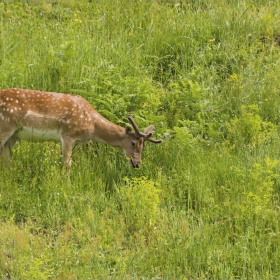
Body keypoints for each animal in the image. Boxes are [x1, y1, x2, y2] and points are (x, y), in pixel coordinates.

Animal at [0, 88, 162, 167]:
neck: (92, 124)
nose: (137, 164)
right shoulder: (67, 134)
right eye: (133, 143)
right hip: (5, 126)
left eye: (143, 146)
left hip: (15, 134)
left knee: (6, 154)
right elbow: (68, 164)